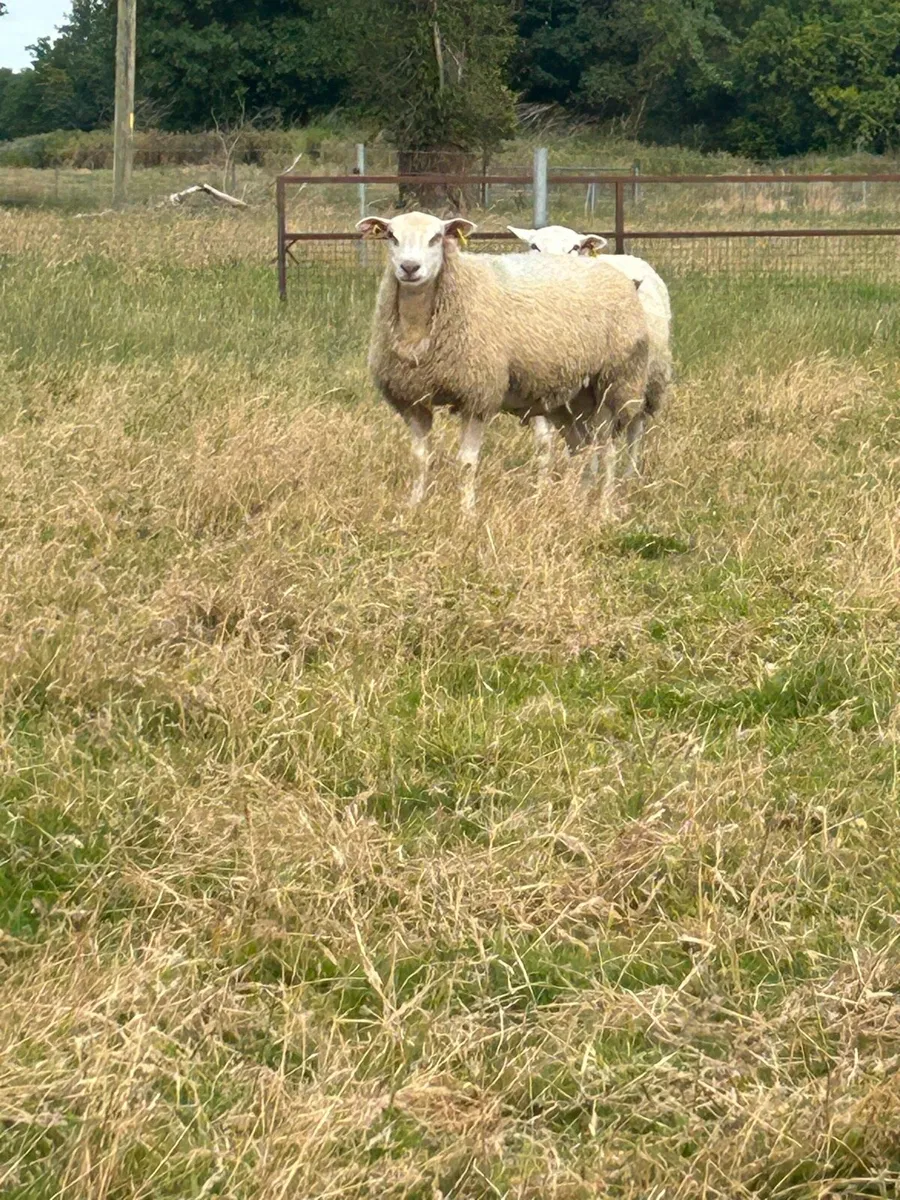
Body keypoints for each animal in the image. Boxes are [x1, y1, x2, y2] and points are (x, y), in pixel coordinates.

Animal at [356, 211, 649, 513]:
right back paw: (575, 500)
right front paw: (414, 506)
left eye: (436, 237)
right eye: (392, 236)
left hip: (613, 383)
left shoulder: (477, 396)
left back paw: (604, 507)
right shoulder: (412, 399)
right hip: (569, 395)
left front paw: (467, 512)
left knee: (607, 449)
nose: (410, 267)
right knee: (581, 445)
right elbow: (419, 458)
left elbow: (467, 463)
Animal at [508, 225, 673, 476]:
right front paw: (542, 482)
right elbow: (544, 443)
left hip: (643, 381)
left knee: (634, 430)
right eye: (534, 246)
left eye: (575, 247)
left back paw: (629, 476)